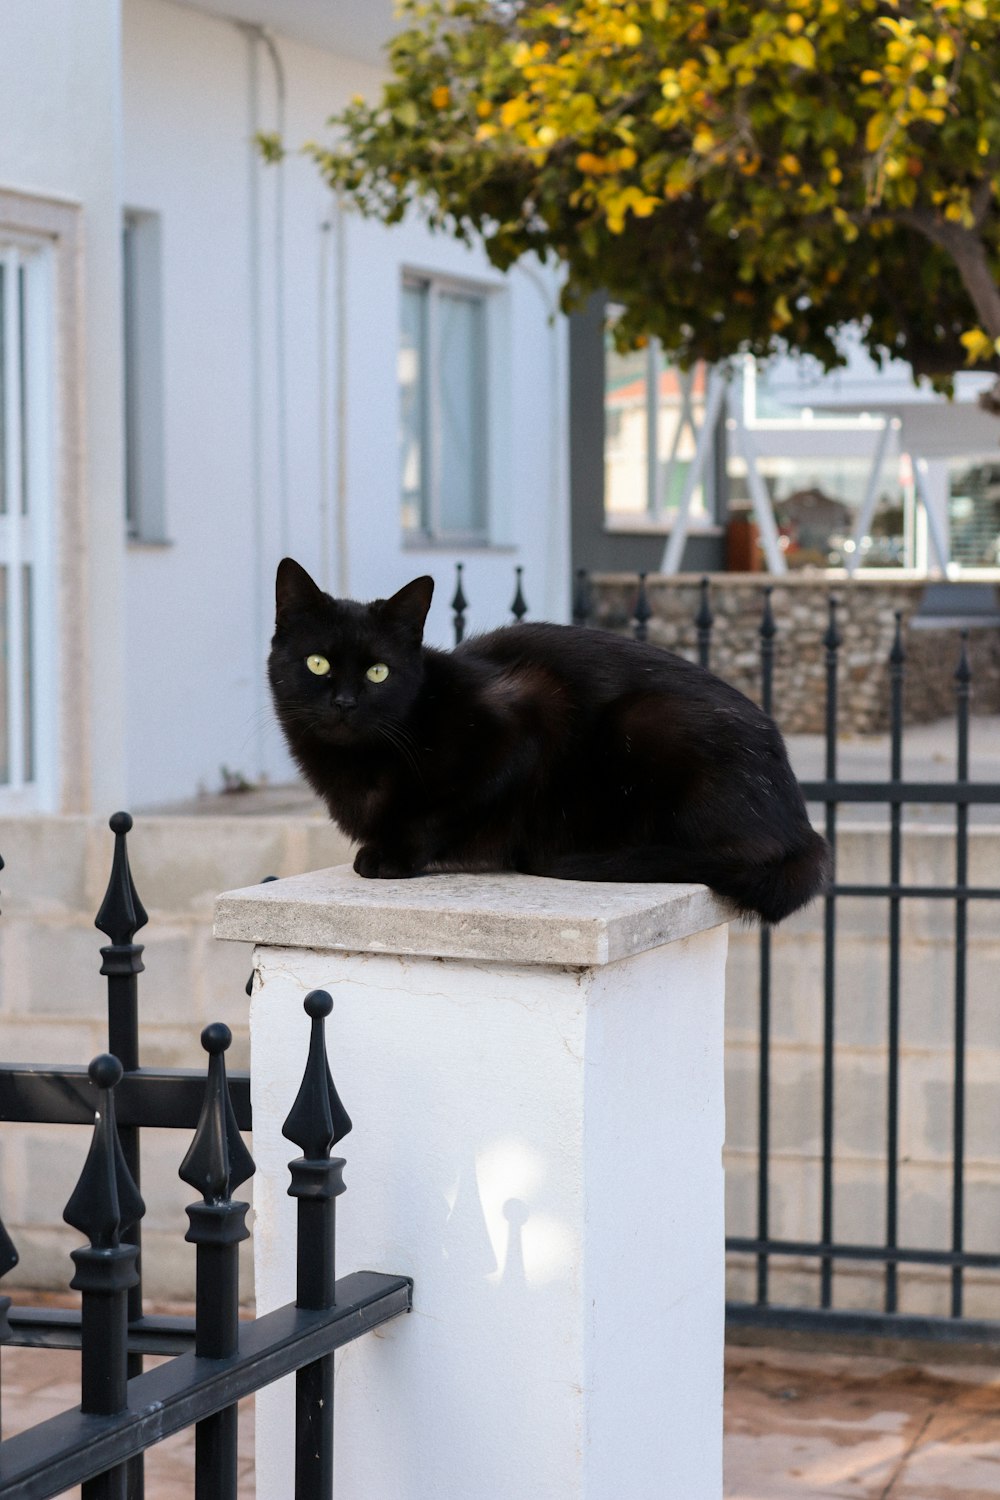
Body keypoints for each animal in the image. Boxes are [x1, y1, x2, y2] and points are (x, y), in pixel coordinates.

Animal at [269, 558, 833, 918]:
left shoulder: (529, 719)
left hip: (650, 719)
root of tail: (804, 829)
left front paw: (394, 855)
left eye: (378, 672)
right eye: (317, 664)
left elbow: (445, 809)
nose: (344, 703)